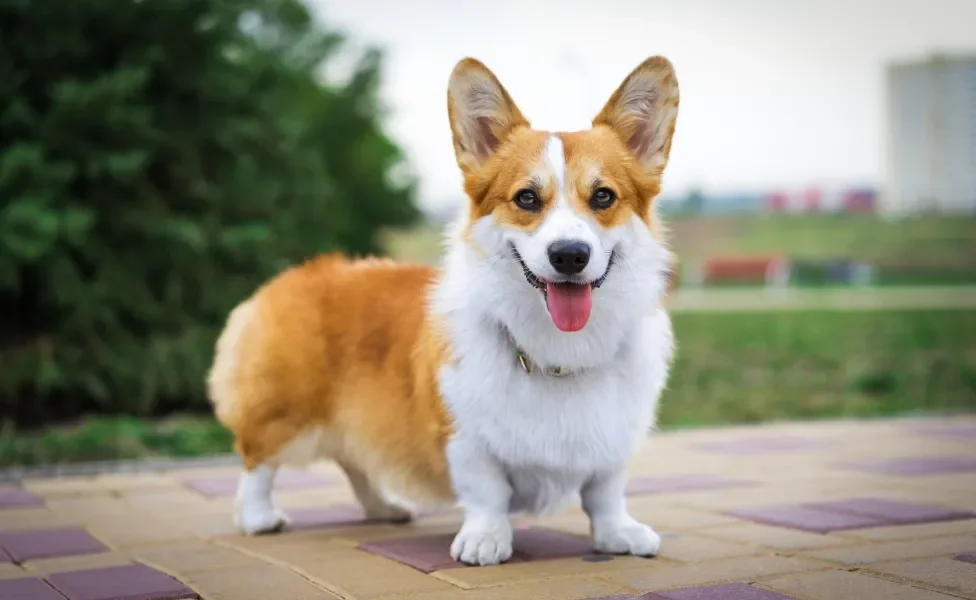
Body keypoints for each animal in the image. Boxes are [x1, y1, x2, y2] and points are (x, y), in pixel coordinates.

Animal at [206, 54, 680, 564]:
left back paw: (385, 508)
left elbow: (604, 493)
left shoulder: (612, 438)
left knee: (356, 460)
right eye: (526, 198)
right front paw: (486, 539)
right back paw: (258, 517)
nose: (569, 255)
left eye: (603, 196)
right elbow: (487, 491)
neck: (557, 352)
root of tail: (292, 276)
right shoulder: (465, 434)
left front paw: (619, 534)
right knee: (257, 460)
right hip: (286, 413)